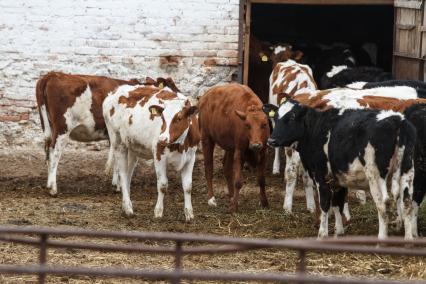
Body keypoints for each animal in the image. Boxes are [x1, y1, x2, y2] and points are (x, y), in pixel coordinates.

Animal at [103, 85, 200, 220]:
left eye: (179, 118)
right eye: (162, 118)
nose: (162, 139)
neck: (180, 146)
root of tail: (116, 90)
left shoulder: (191, 158)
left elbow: (188, 186)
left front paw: (189, 214)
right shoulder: (159, 155)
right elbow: (162, 185)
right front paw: (158, 212)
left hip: (132, 148)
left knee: (128, 175)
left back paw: (126, 205)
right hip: (118, 142)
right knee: (122, 174)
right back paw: (128, 208)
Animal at [197, 83, 270, 212]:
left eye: (264, 124)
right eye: (247, 125)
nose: (256, 145)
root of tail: (204, 97)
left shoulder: (263, 152)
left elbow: (261, 180)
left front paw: (264, 202)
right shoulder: (239, 152)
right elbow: (238, 181)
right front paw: (233, 207)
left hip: (230, 147)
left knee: (226, 168)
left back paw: (231, 196)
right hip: (206, 138)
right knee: (208, 168)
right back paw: (211, 199)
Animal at [266, 100, 416, 240]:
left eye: (291, 118)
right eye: (276, 117)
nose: (271, 140)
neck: (315, 129)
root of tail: (397, 120)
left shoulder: (321, 176)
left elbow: (325, 204)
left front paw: (322, 234)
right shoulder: (338, 179)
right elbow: (338, 203)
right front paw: (339, 231)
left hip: (375, 176)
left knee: (383, 204)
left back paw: (381, 238)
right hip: (407, 171)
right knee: (407, 202)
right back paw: (408, 239)